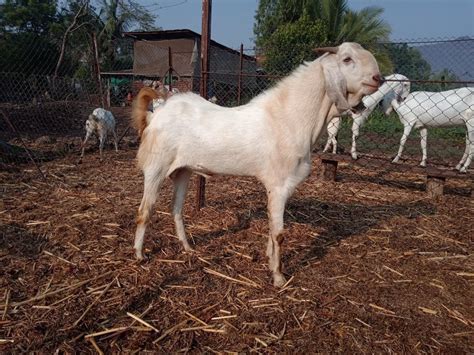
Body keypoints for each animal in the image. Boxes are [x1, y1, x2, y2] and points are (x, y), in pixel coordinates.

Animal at [132, 42, 382, 286]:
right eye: (347, 59)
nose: (377, 78)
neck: (289, 118)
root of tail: (156, 115)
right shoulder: (279, 185)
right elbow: (279, 233)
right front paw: (279, 278)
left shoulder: (279, 188)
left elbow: (272, 229)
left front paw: (270, 261)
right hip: (156, 168)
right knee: (145, 209)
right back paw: (139, 254)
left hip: (182, 170)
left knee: (176, 209)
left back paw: (187, 247)